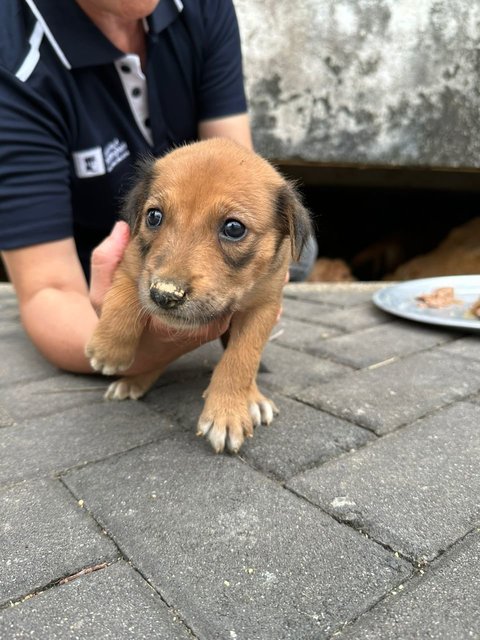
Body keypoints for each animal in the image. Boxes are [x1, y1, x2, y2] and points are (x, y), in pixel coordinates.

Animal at [86, 138, 312, 452]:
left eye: (234, 228)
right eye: (153, 216)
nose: (164, 295)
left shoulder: (264, 305)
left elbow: (242, 358)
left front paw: (227, 413)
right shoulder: (132, 261)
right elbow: (124, 295)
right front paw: (109, 348)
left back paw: (253, 399)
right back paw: (133, 381)